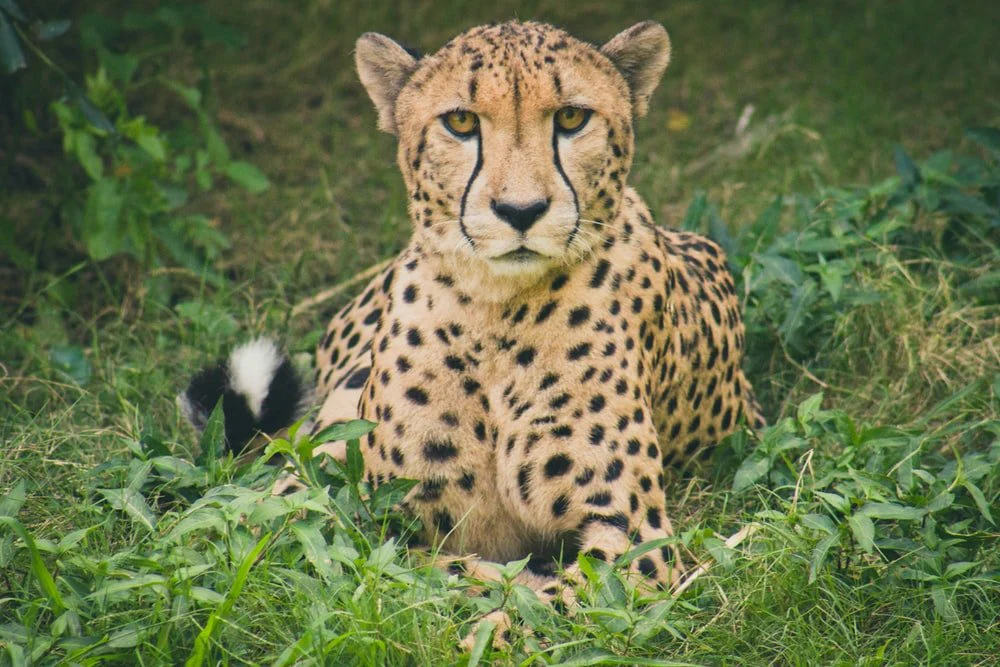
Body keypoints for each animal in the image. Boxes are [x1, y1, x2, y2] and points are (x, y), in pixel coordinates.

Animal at [181, 19, 764, 632]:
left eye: (571, 118)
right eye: (460, 121)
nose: (521, 211)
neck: (496, 312)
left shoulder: (634, 539)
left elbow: (547, 606)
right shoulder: (373, 508)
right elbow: (392, 558)